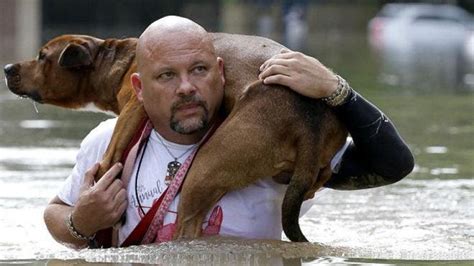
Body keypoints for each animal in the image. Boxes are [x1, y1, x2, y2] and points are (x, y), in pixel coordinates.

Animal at [2, 32, 344, 241]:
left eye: (42, 56)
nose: (6, 68)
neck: (116, 59)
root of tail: (309, 121)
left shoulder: (133, 108)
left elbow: (111, 154)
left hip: (205, 169)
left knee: (187, 225)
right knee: (320, 174)